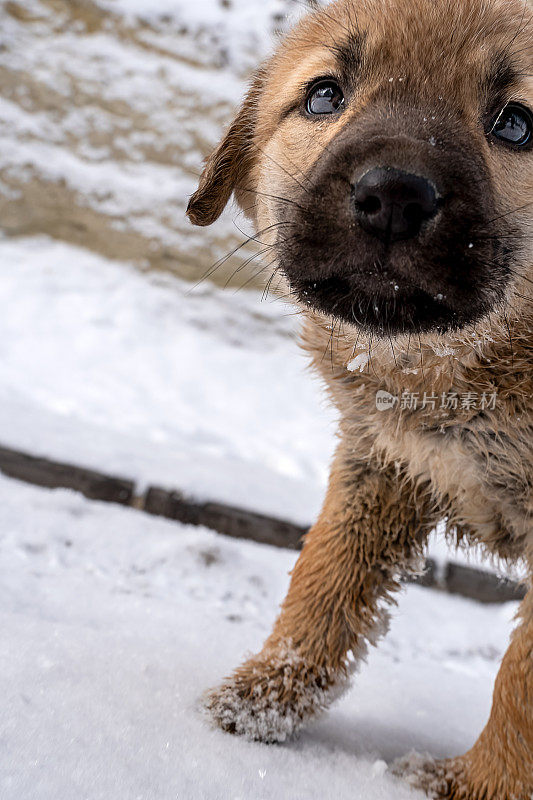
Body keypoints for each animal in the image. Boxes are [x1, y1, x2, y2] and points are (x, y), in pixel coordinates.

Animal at [185, 3, 528, 796]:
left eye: (516, 123)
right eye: (323, 95)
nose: (395, 196)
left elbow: (521, 681)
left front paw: (476, 785)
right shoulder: (384, 461)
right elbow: (325, 579)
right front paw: (261, 703)